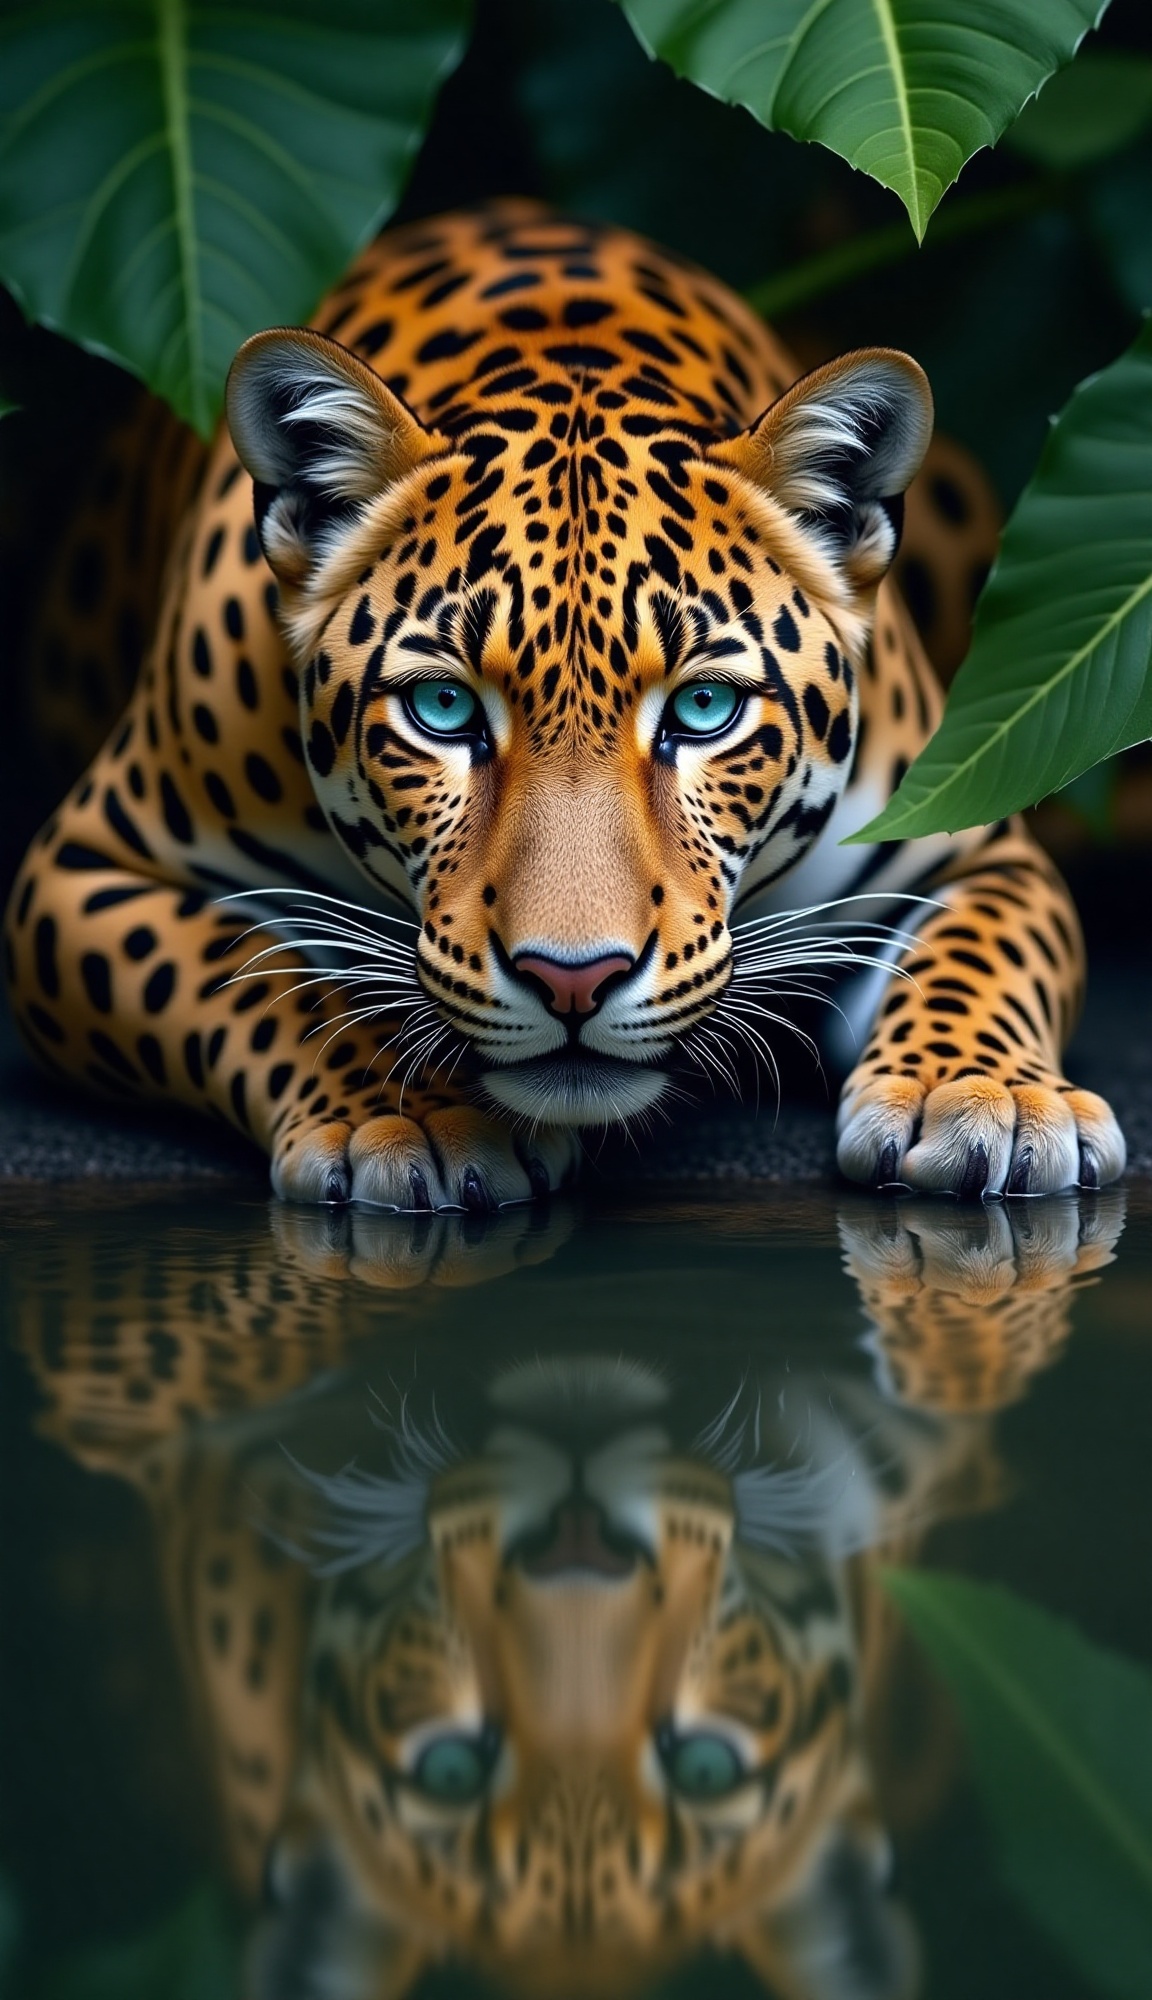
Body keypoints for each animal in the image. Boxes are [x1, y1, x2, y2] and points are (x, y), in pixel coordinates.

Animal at [3, 201, 1126, 1209]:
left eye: (705, 709)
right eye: (443, 710)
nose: (574, 981)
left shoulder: (969, 844)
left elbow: (980, 957)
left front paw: (983, 1095)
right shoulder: (77, 876)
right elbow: (263, 976)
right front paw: (404, 1116)